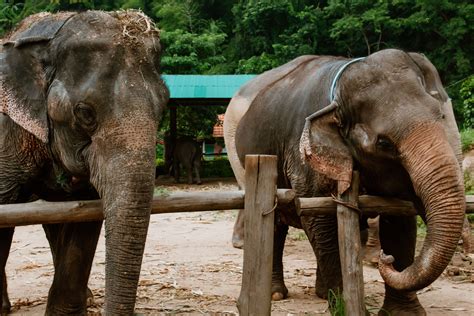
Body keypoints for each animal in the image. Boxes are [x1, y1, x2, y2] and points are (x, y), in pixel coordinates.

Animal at [225, 48, 466, 314]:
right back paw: (277, 294)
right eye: (384, 143)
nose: (386, 259)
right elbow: (320, 219)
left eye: (441, 116)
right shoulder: (304, 157)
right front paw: (343, 305)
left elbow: (401, 221)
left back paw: (318, 293)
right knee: (275, 223)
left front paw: (404, 313)